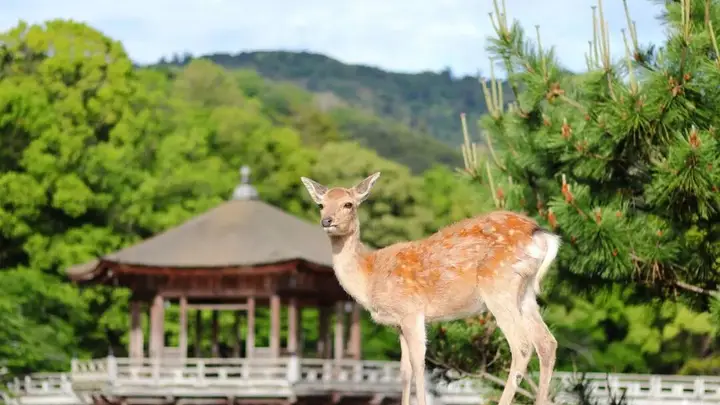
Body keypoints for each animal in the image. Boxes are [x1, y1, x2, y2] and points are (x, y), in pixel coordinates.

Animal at [300, 172, 560, 405]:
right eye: (321, 204)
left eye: (348, 204)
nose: (327, 221)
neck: (369, 276)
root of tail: (541, 235)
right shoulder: (398, 323)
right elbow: (404, 371)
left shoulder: (411, 311)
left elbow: (419, 365)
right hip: (525, 291)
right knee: (547, 342)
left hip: (498, 285)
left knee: (522, 345)